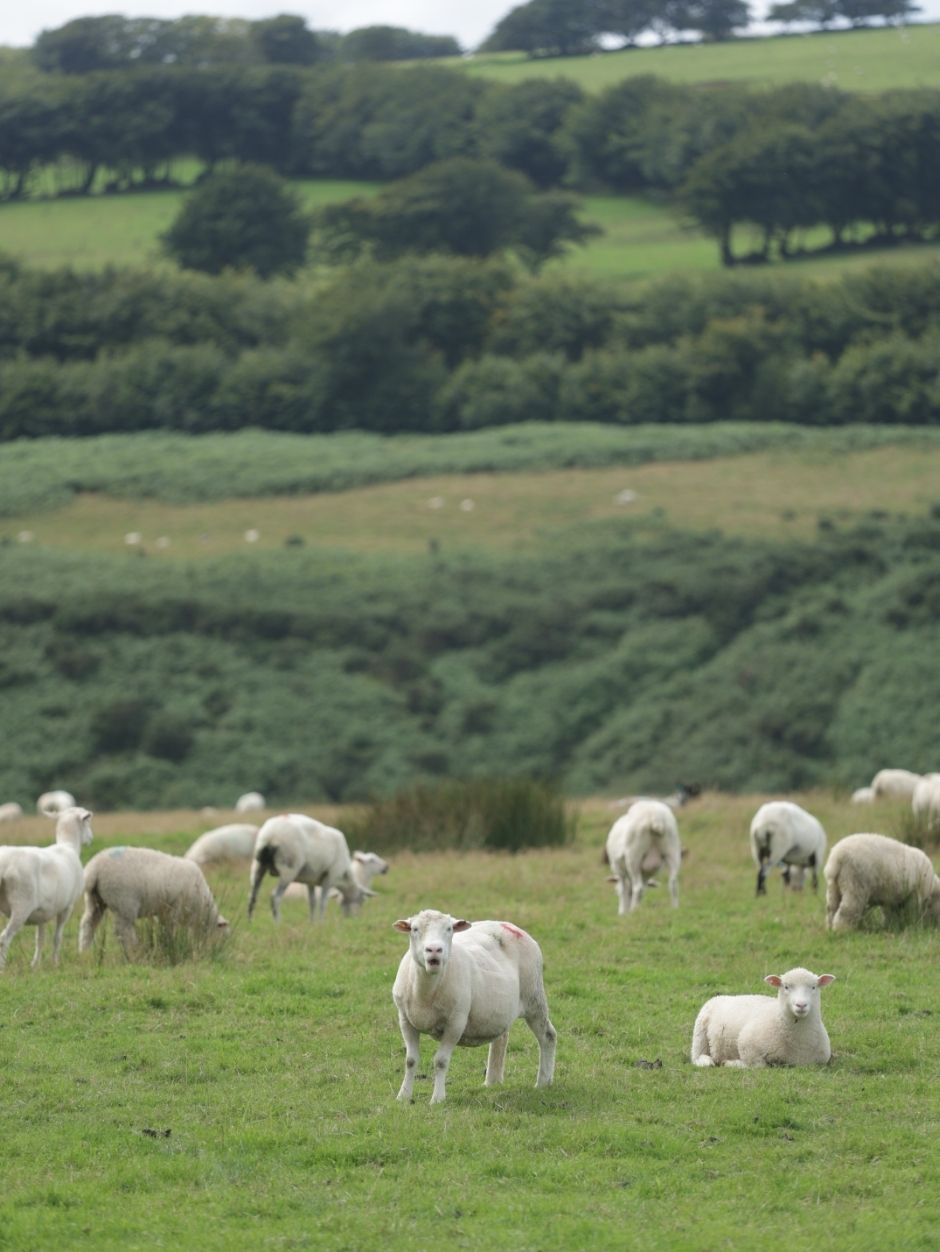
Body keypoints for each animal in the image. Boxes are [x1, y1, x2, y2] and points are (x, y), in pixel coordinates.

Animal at [0, 806, 94, 969]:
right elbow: (57, 937)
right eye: (87, 822)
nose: (91, 838)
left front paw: (35, 965)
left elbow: (40, 939)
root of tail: (4, 864)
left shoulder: (42, 912)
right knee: (4, 938)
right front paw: (55, 962)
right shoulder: (67, 907)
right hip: (21, 905)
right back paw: (2, 967)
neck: (68, 845)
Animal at [79, 846, 228, 956]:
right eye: (223, 936)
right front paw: (172, 944)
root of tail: (95, 868)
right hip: (123, 902)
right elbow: (171, 928)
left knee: (88, 923)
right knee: (123, 929)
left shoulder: (163, 911)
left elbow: (164, 928)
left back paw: (84, 951)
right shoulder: (175, 908)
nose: (215, 951)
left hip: (95, 899)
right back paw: (134, 950)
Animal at [392, 909, 556, 1104]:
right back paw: (492, 1081)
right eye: (415, 929)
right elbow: (410, 1060)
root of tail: (507, 925)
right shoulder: (405, 1020)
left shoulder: (456, 1022)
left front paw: (437, 1099)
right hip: (498, 1009)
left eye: (449, 929)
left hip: (534, 997)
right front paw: (403, 1096)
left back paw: (543, 1082)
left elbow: (441, 1061)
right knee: (501, 1038)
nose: (434, 950)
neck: (426, 992)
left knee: (548, 1036)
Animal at [691, 968, 835, 1068]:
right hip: (700, 1034)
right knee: (696, 1056)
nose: (801, 1005)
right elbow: (758, 1066)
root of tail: (721, 996)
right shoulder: (747, 1045)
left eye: (813, 987)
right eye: (786, 987)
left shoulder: (818, 1061)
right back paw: (707, 1061)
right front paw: (732, 1063)